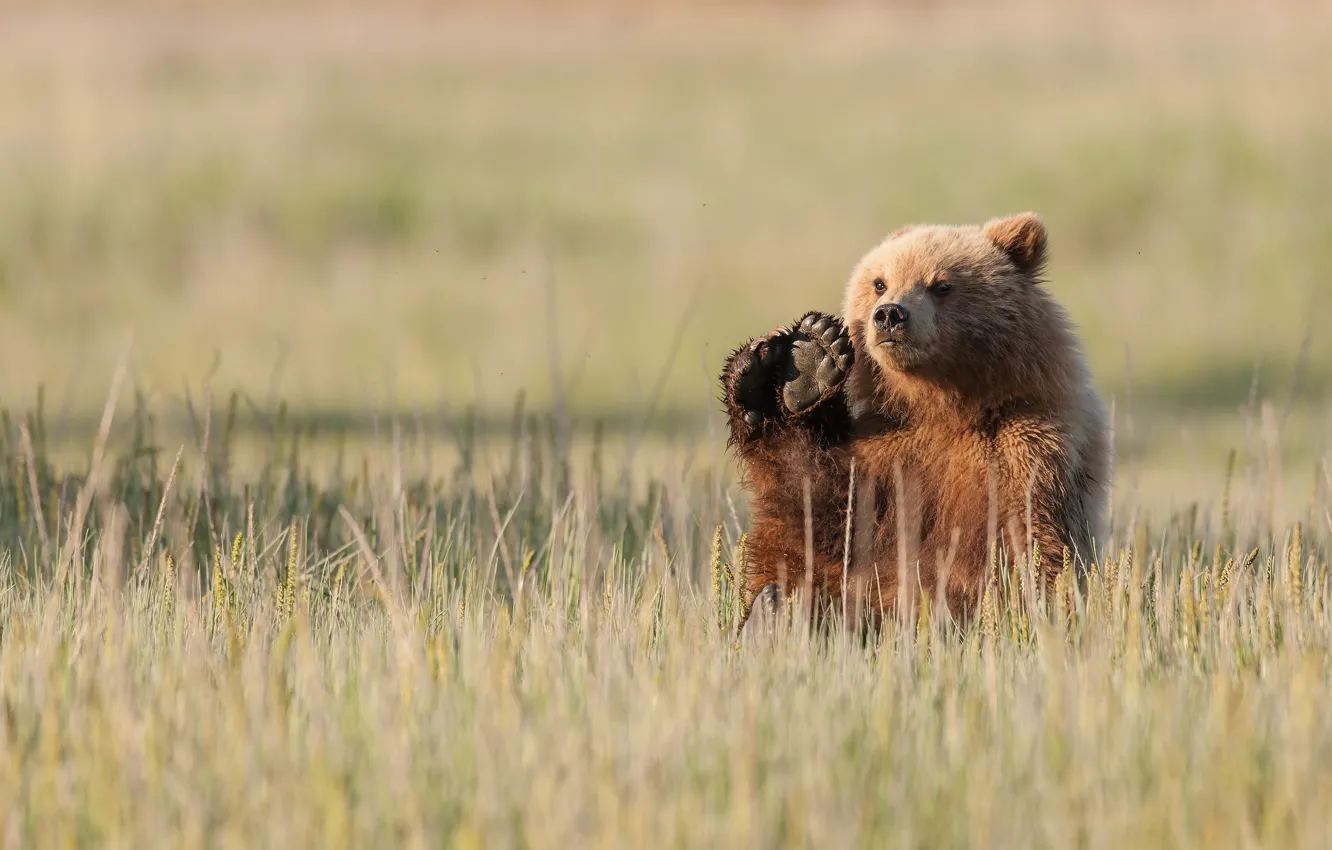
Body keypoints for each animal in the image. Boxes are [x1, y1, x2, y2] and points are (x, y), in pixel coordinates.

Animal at [720, 212, 1111, 630]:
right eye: (880, 282)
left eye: (941, 284)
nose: (890, 314)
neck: (946, 407)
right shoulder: (889, 455)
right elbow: (819, 518)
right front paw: (809, 359)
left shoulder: (1024, 451)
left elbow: (1020, 551)